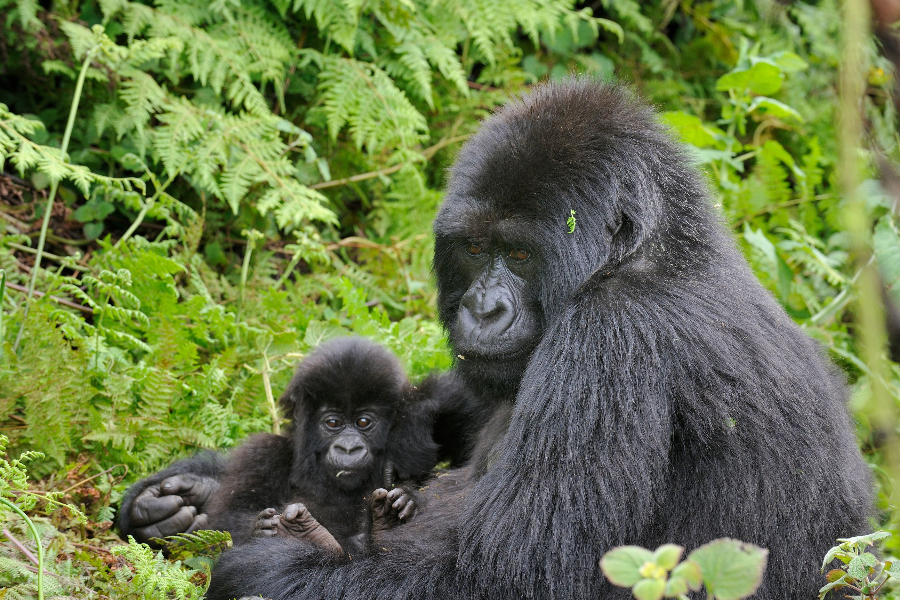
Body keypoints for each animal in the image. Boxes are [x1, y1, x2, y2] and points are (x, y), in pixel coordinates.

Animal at [205, 336, 442, 556]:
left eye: (363, 422)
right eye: (333, 423)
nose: (348, 449)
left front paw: (405, 497)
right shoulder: (262, 453)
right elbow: (228, 521)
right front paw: (261, 528)